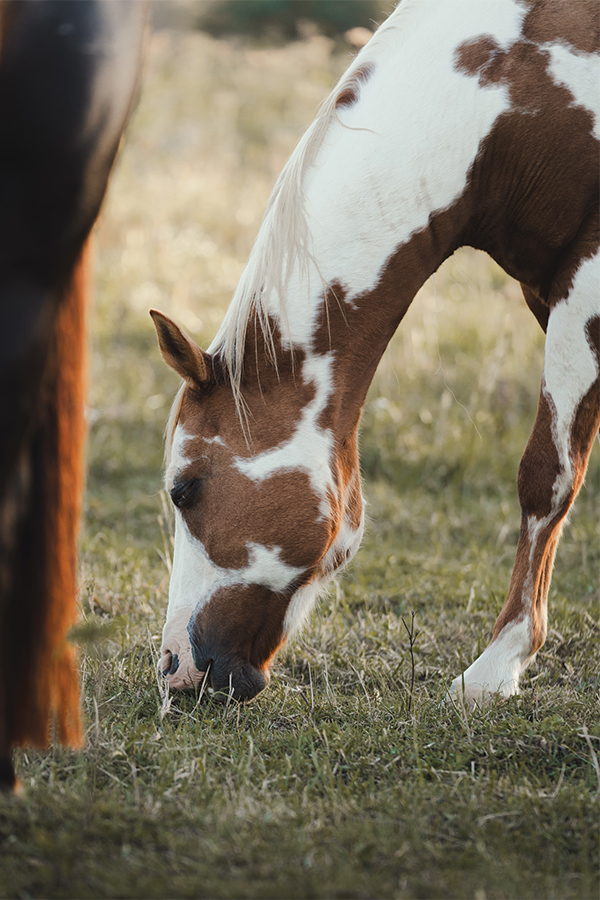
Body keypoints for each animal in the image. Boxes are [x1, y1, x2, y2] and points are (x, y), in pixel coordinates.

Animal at [151, 0, 599, 707]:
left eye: (185, 489)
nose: (173, 669)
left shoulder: (588, 281)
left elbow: (548, 475)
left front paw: (496, 668)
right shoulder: (548, 290)